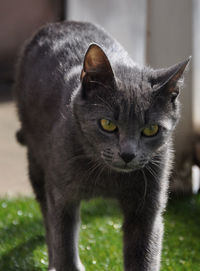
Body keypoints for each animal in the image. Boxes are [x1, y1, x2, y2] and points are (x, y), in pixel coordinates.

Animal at [14, 21, 191, 271]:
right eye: (107, 124)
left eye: (151, 130)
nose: (127, 154)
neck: (108, 178)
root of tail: (62, 23)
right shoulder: (61, 196)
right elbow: (63, 244)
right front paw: (66, 262)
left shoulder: (147, 208)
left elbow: (145, 256)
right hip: (37, 164)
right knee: (47, 218)